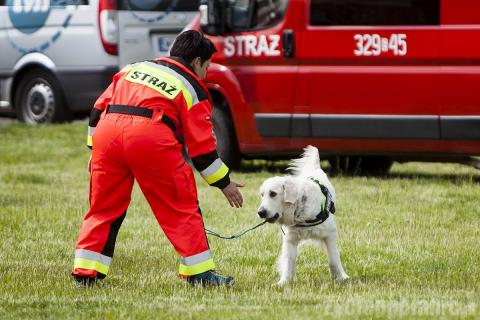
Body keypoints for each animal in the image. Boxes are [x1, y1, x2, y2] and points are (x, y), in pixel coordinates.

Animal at [258, 146, 348, 286]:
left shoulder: (330, 234)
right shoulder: (290, 239)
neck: (300, 212)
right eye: (262, 195)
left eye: (273, 194)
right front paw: (283, 282)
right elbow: (288, 262)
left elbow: (333, 259)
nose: (260, 212)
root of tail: (315, 168)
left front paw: (341, 277)